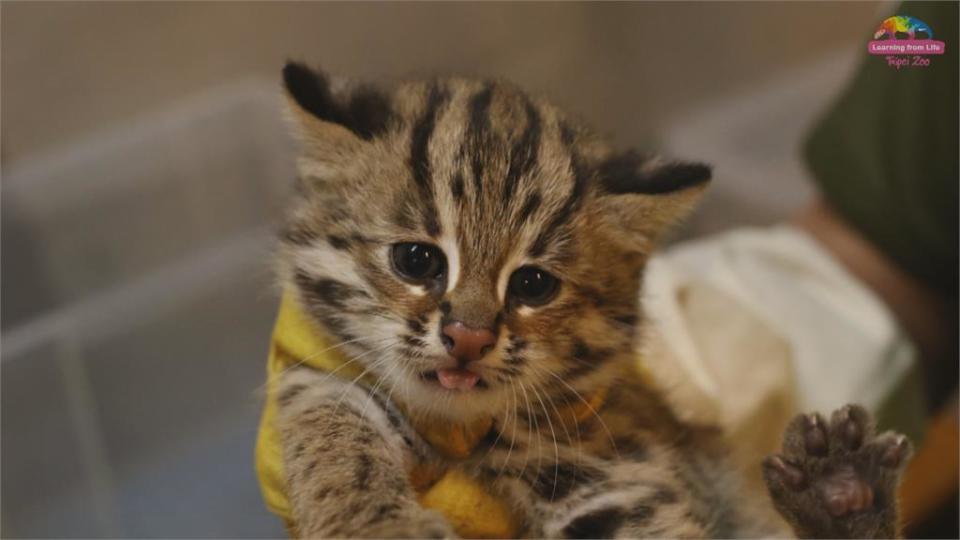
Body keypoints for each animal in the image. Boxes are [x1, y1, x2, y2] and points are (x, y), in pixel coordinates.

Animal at [268, 62, 908, 536]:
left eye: (533, 285)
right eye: (417, 261)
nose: (468, 339)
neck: (460, 431)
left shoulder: (610, 468)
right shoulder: (317, 377)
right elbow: (334, 438)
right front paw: (375, 525)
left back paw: (841, 491)